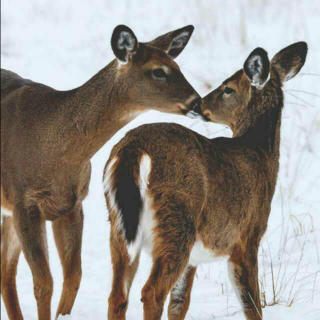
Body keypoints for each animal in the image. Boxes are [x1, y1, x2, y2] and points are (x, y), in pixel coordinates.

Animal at [0, 24, 200, 320]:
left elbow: (73, 276)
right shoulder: (24, 200)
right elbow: (43, 282)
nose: (197, 102)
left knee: (6, 272)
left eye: (177, 65)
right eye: (158, 71)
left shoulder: (72, 202)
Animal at [104, 42, 308, 320]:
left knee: (118, 295)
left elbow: (180, 303)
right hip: (176, 221)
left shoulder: (197, 257)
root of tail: (133, 149)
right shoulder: (247, 235)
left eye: (228, 88)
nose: (198, 104)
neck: (260, 153)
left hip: (119, 225)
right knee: (151, 292)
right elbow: (252, 304)